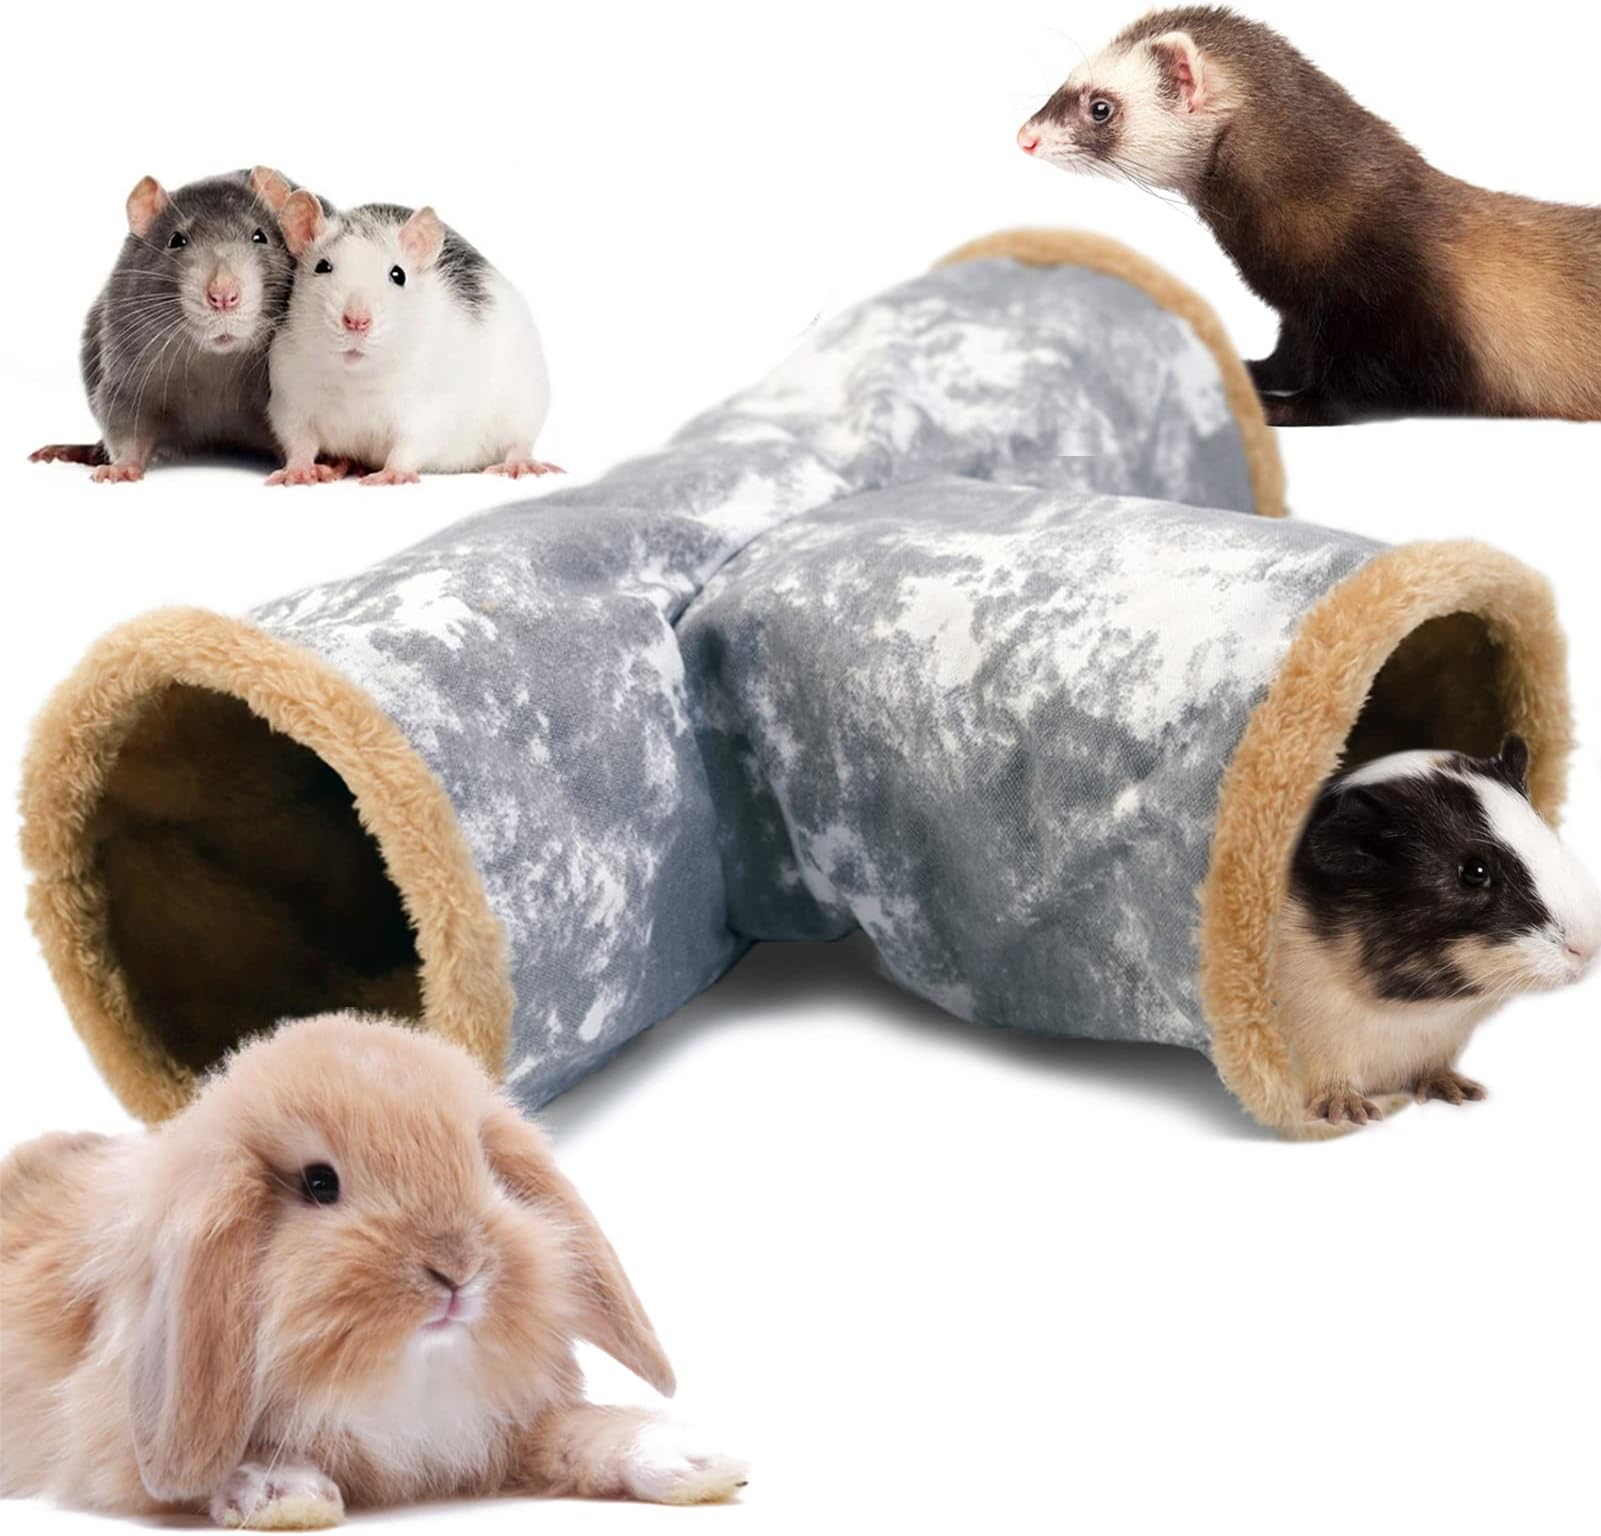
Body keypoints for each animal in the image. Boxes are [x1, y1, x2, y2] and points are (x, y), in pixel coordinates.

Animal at [0, 1012, 747, 1526]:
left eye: (484, 1166)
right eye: (319, 1183)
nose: (458, 1268)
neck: (404, 1379)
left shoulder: (502, 1428)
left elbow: (578, 1431)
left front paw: (698, 1461)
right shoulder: (110, 1448)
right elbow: (194, 1471)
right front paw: (285, 1494)